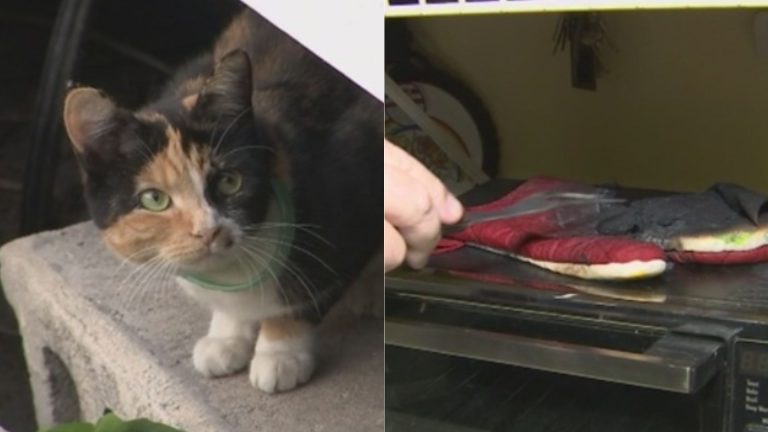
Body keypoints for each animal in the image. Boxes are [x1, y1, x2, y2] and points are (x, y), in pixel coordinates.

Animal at [62, 8, 384, 394]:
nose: (209, 231)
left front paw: (280, 352)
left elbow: (307, 290)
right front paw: (226, 338)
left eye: (230, 181)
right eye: (154, 199)